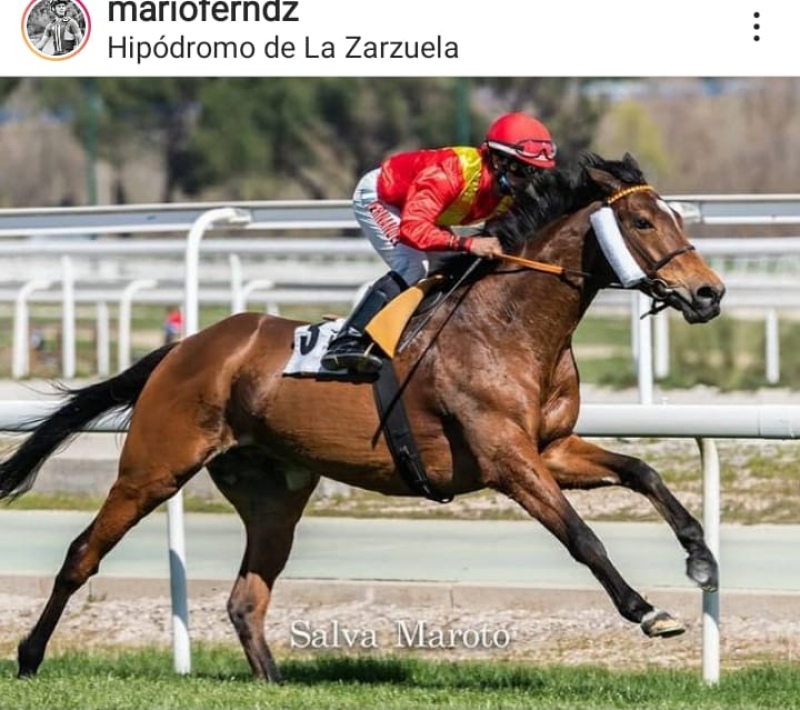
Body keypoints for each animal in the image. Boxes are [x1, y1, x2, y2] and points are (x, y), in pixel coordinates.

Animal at [0, 153, 724, 680]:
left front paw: (701, 558)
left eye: (673, 217)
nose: (709, 293)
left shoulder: (550, 448)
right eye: (642, 223)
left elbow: (643, 471)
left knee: (246, 598)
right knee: (82, 555)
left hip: (274, 493)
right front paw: (647, 610)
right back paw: (30, 656)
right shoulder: (504, 456)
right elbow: (583, 537)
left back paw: (274, 683)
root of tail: (186, 346)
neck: (510, 325)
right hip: (154, 466)